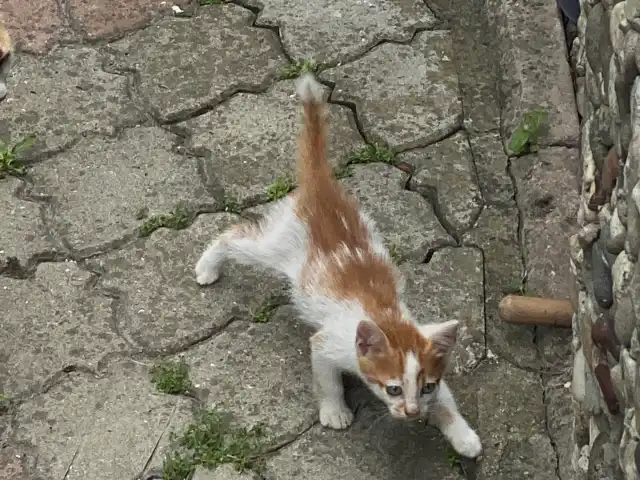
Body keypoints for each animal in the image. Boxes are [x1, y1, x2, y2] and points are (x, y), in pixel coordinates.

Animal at [198, 74, 482, 458]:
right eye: (393, 389)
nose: (411, 412)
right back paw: (208, 267)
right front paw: (335, 411)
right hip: (277, 247)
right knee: (233, 237)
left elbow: (447, 401)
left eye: (425, 387)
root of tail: (322, 188)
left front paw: (464, 437)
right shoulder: (327, 344)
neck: (386, 317)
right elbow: (326, 378)